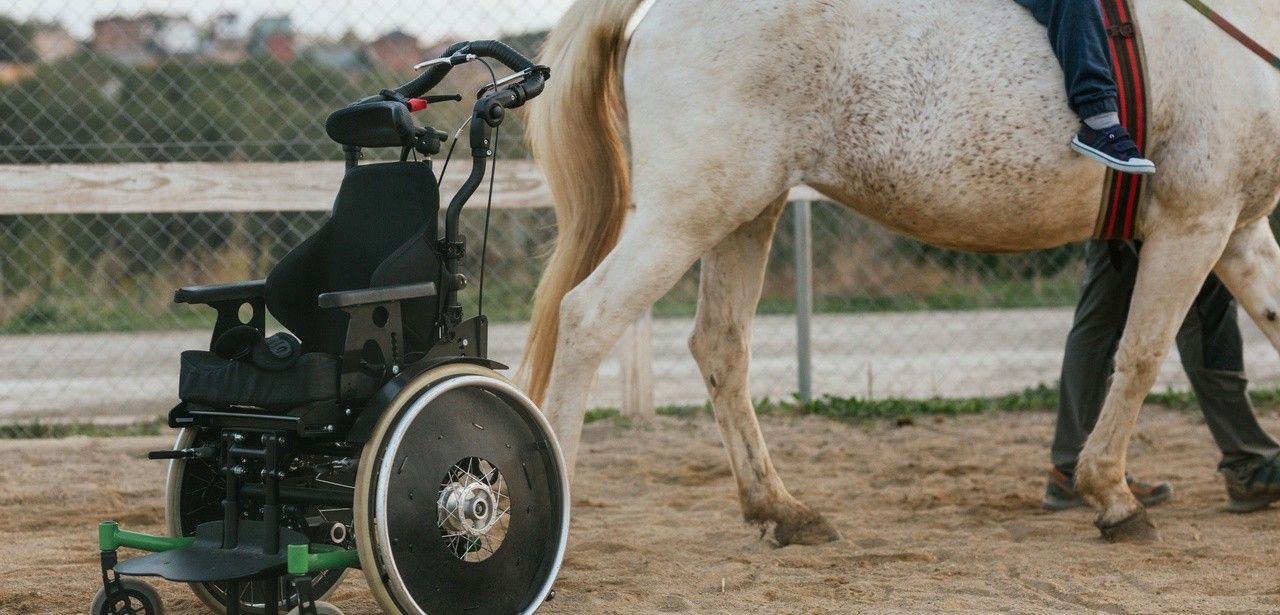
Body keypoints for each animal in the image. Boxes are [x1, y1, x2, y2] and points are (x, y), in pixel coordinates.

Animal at [517, 0, 1280, 545]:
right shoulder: (1193, 223)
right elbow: (1143, 354)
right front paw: (1112, 495)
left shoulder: (1237, 232)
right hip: (688, 211)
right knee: (588, 317)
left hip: (745, 213)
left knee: (720, 347)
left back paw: (782, 509)